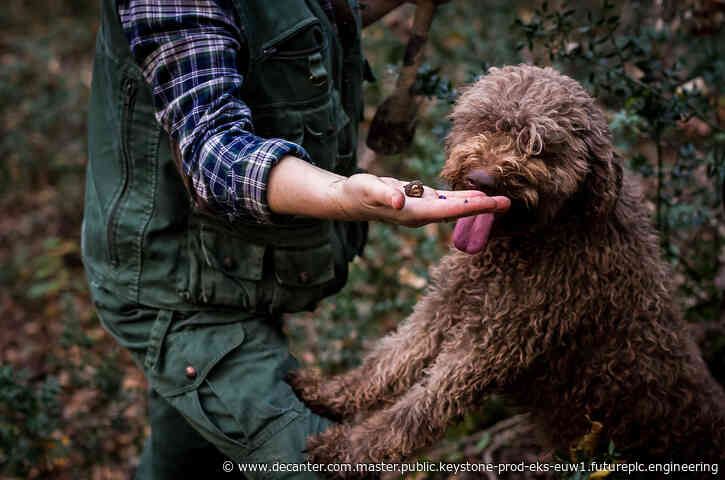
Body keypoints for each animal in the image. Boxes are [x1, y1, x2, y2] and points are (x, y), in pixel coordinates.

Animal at [288, 63, 724, 476]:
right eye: (484, 122)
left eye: (538, 146)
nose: (481, 178)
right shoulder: (444, 307)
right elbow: (389, 360)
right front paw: (329, 391)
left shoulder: (492, 343)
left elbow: (415, 412)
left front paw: (346, 451)